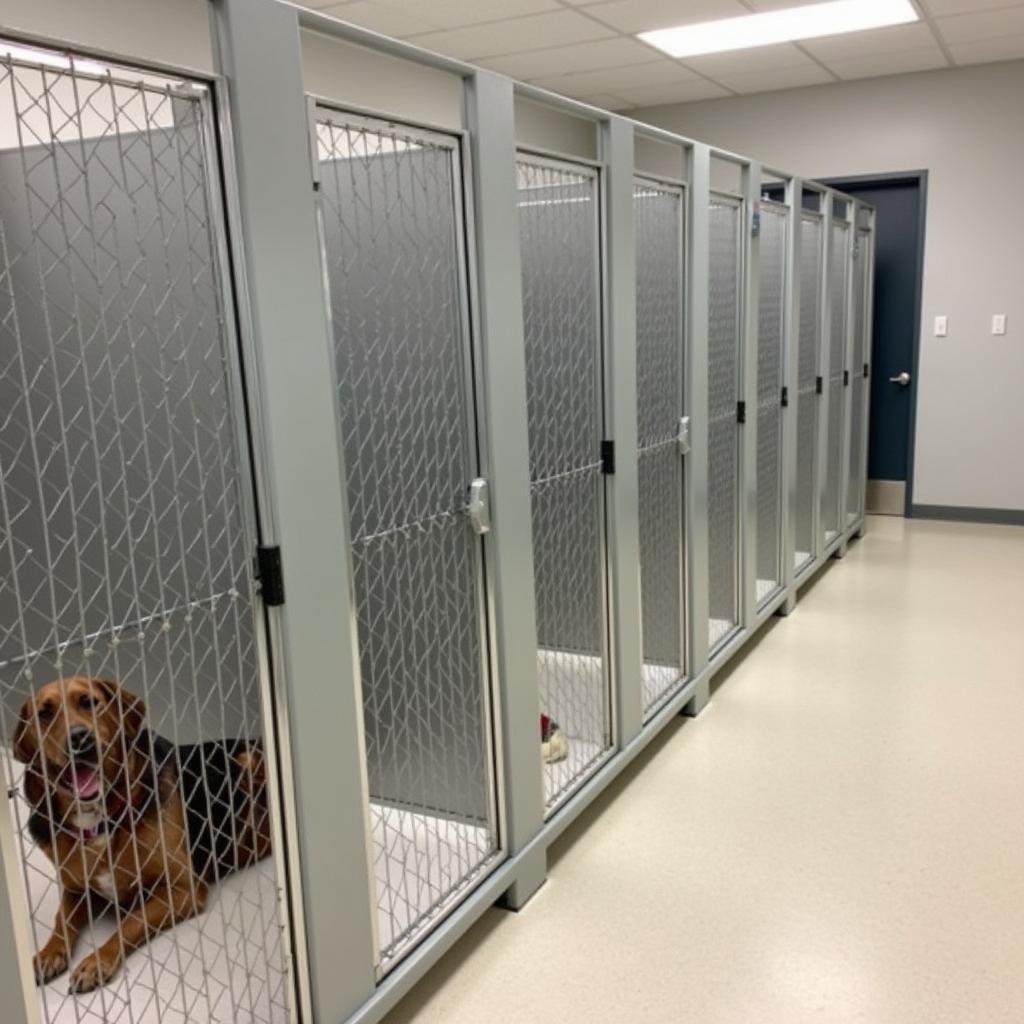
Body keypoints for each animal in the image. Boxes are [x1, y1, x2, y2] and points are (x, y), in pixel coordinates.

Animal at [14, 675, 270, 995]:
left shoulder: (183, 889)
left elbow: (132, 920)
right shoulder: (76, 889)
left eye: (89, 702)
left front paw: (96, 962)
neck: (98, 821)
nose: (79, 739)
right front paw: (49, 953)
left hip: (245, 759)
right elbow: (62, 919)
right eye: (44, 714)